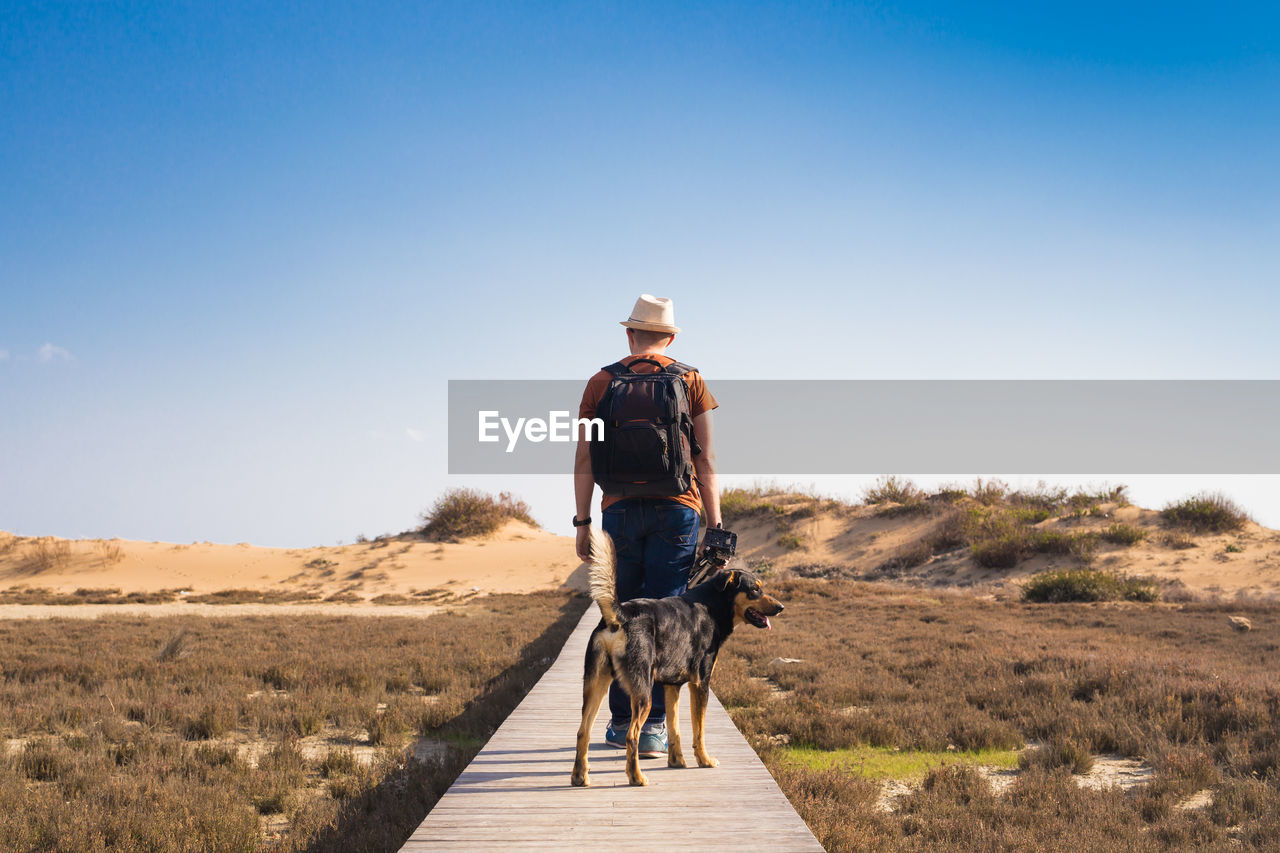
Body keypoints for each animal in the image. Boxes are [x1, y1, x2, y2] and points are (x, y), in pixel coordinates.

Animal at [570, 527, 778, 788]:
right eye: (755, 589)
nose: (780, 607)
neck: (711, 605)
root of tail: (621, 614)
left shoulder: (672, 686)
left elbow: (675, 728)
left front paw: (677, 761)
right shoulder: (701, 684)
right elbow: (699, 731)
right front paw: (704, 760)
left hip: (596, 685)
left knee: (582, 732)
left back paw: (580, 776)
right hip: (643, 693)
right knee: (631, 735)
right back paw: (636, 777)